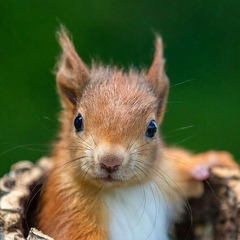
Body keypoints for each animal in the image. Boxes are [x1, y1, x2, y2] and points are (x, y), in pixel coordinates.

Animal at [37, 26, 236, 240]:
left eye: (152, 128)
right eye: (78, 121)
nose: (110, 161)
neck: (120, 191)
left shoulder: (168, 177)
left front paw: (211, 160)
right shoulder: (66, 204)